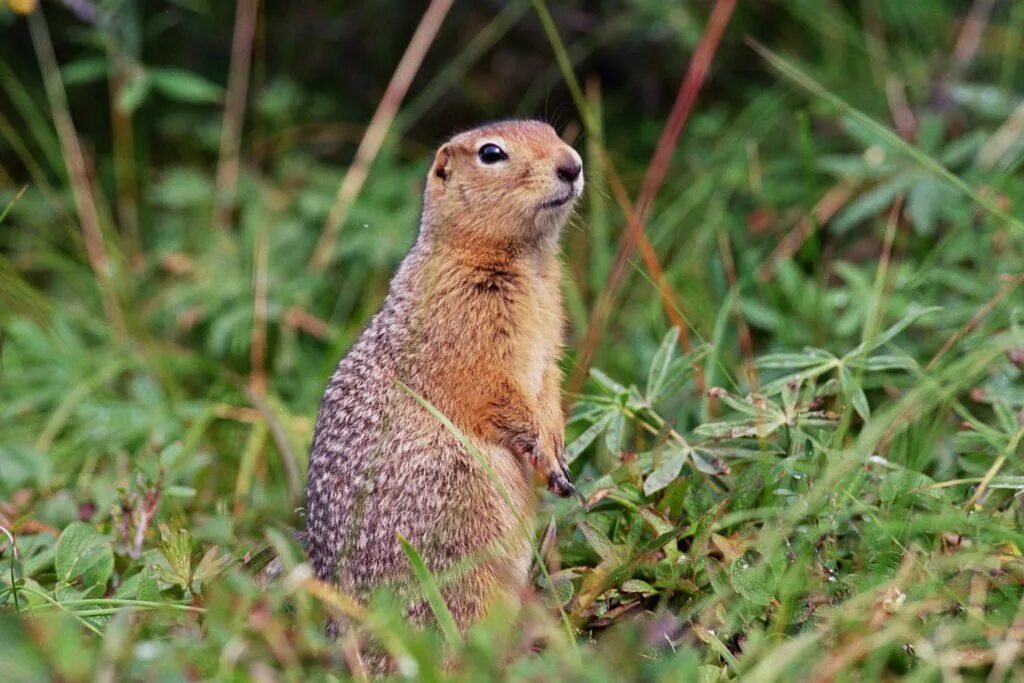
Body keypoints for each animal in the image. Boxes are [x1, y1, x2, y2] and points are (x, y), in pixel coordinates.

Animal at [303, 121, 585, 643]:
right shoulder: (467, 330)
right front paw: (544, 453)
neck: (527, 260)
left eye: (553, 130)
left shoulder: (549, 337)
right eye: (491, 153)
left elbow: (548, 384)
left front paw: (558, 453)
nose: (572, 164)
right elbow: (494, 391)